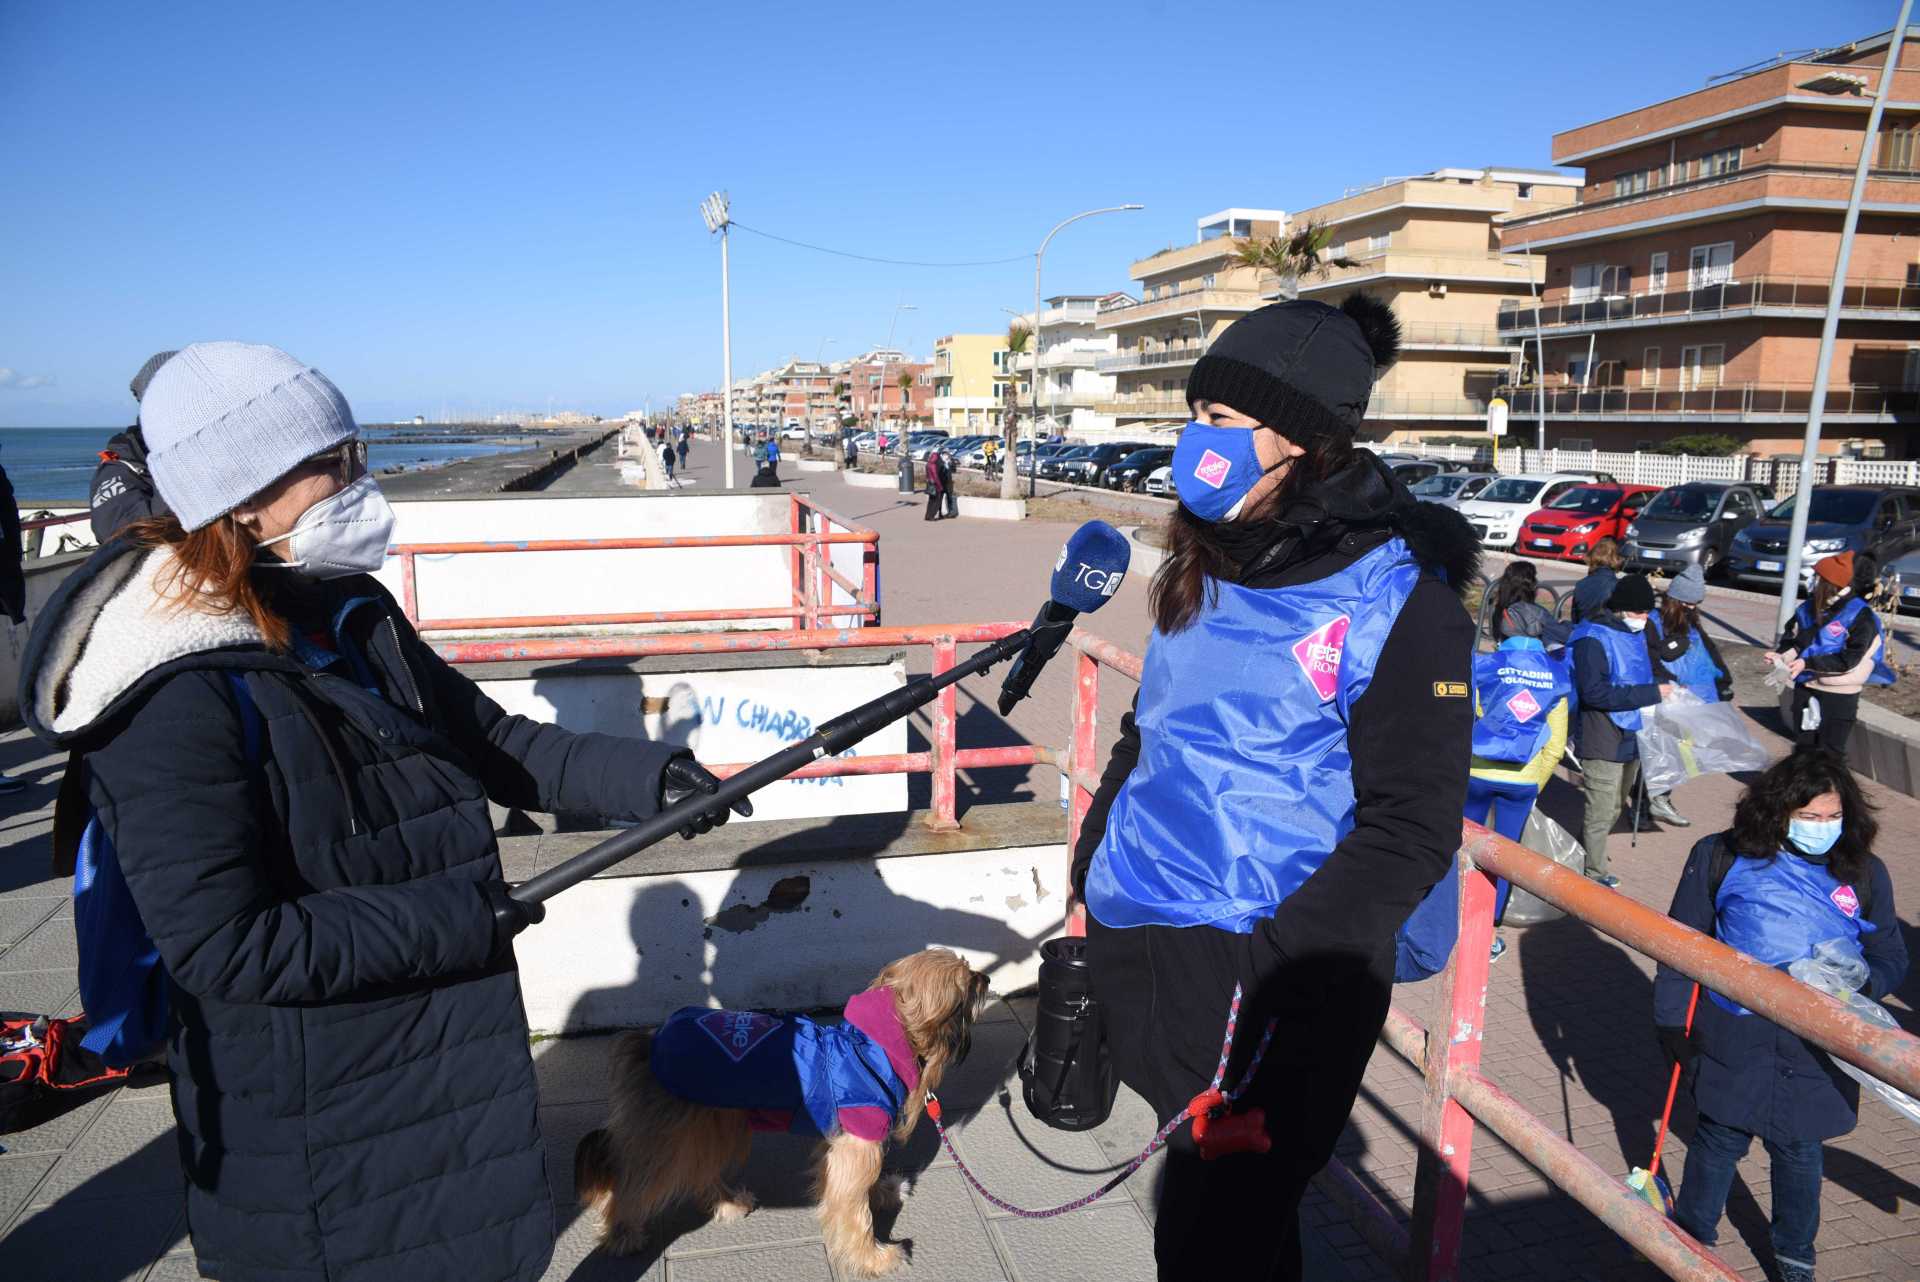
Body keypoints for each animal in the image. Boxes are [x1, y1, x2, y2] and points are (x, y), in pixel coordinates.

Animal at [572, 948, 990, 1274]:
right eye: (968, 980)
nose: (986, 977)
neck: (873, 1045)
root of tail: (649, 1042)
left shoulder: (850, 1144)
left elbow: (857, 1187)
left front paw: (883, 1193)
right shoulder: (856, 1145)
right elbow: (854, 1209)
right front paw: (874, 1258)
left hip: (715, 1122)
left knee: (699, 1170)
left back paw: (727, 1202)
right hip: (674, 1134)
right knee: (635, 1180)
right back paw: (622, 1232)